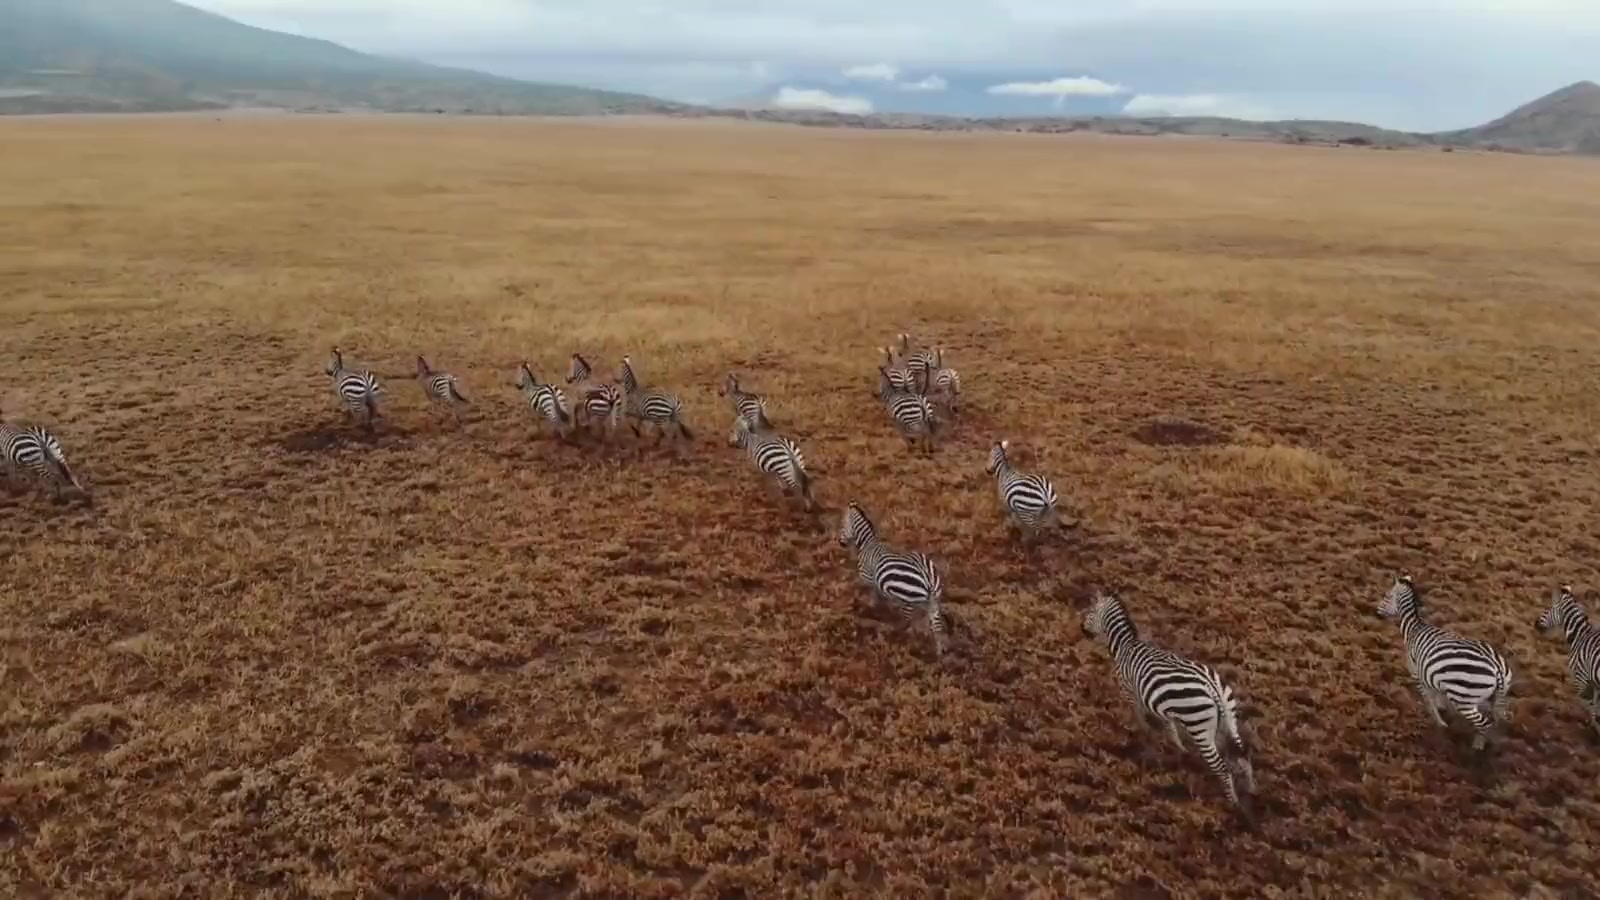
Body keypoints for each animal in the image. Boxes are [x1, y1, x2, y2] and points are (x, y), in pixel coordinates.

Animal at [837, 500, 947, 655]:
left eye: (842, 526)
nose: (840, 543)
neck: (867, 544)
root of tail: (927, 578)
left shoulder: (868, 578)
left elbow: (872, 593)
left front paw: (870, 607)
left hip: (908, 600)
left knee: (908, 622)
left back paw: (902, 638)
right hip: (933, 600)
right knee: (935, 626)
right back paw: (938, 649)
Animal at [1081, 591, 1257, 813]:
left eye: (1090, 612)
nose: (1081, 629)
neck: (1125, 645)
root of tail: (1212, 687)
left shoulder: (1130, 692)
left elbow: (1140, 719)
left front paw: (1145, 739)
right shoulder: (1160, 705)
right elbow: (1170, 728)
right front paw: (1178, 749)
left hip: (1200, 728)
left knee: (1223, 768)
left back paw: (1233, 803)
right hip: (1227, 722)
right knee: (1242, 759)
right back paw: (1250, 791)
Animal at [1378, 574, 1514, 752]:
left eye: (1387, 596)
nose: (1376, 612)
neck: (1414, 629)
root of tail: (1496, 667)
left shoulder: (1417, 675)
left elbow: (1429, 701)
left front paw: (1439, 723)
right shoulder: (1431, 675)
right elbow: (1436, 696)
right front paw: (1441, 708)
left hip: (1464, 700)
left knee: (1484, 723)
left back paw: (1477, 746)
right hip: (1496, 697)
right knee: (1495, 720)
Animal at [1535, 584, 1600, 739]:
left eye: (1548, 608)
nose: (1535, 624)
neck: (1580, 636)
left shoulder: (1581, 678)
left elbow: (1588, 705)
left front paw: (1595, 727)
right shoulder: (1594, 682)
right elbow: (1595, 705)